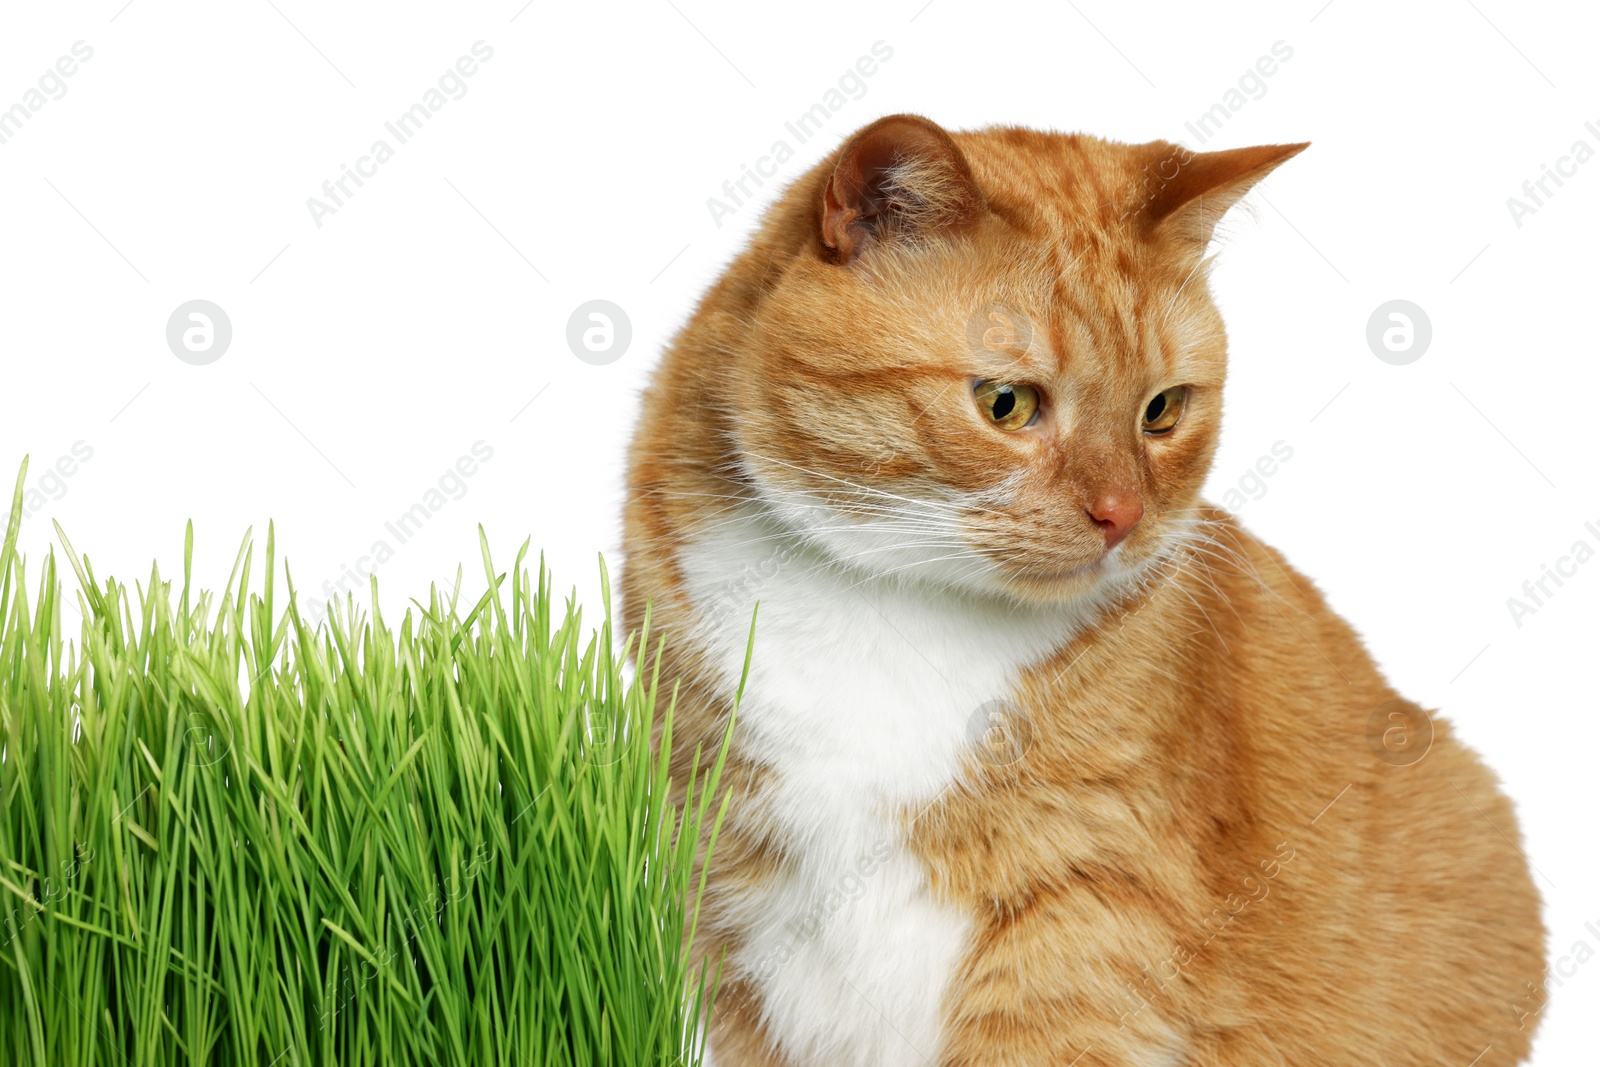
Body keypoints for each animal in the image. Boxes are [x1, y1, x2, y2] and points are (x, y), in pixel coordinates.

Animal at [617, 116, 1542, 1067]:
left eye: (1161, 411)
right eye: (1007, 402)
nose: (1122, 514)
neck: (891, 601)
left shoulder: (1085, 906)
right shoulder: (728, 873)